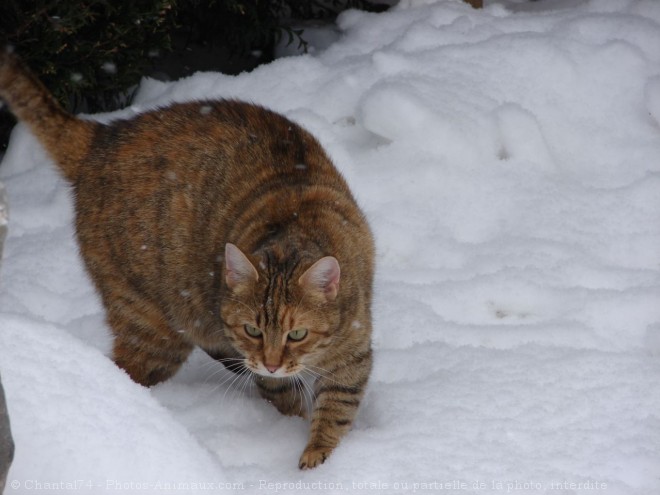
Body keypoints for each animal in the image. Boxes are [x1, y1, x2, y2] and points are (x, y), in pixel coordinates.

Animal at [0, 48, 374, 470]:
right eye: (253, 330)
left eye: (297, 334)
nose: (271, 362)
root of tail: (103, 136)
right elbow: (289, 397)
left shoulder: (353, 350)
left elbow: (337, 406)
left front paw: (319, 453)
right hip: (150, 327)